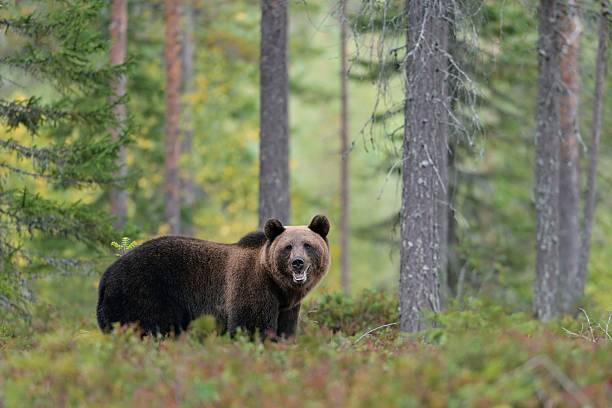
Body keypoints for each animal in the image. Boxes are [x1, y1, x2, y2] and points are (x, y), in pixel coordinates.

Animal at [95, 214, 330, 338]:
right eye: (287, 247)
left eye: (307, 245)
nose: (297, 262)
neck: (279, 288)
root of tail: (107, 275)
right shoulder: (251, 287)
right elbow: (251, 326)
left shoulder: (287, 307)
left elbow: (285, 331)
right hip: (143, 292)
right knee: (147, 329)